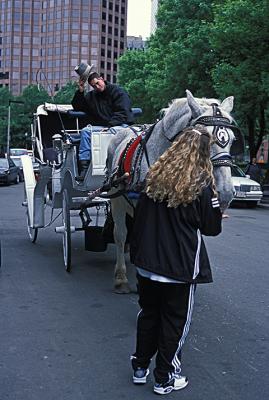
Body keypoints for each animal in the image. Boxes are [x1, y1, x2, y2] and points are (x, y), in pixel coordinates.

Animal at [105, 89, 240, 292]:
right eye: (205, 139)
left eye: (232, 140)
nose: (226, 192)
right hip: (117, 199)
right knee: (120, 234)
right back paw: (121, 274)